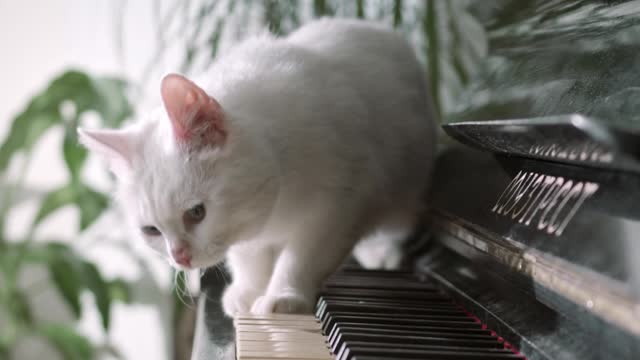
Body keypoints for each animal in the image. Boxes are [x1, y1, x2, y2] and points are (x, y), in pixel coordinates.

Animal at [77, 19, 438, 318]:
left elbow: (304, 255)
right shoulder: (248, 233)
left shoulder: (341, 204)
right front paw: (247, 292)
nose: (180, 258)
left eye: (196, 213)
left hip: (404, 187)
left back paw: (383, 252)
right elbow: (248, 256)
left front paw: (285, 295)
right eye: (151, 231)